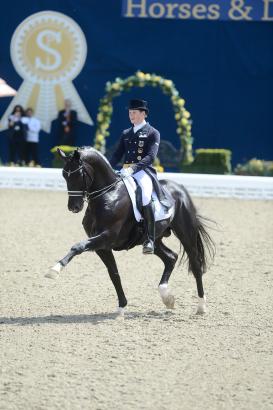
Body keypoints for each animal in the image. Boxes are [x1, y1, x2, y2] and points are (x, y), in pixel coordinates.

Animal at [45, 147, 214, 314]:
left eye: (79, 174)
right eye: (64, 175)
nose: (73, 207)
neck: (108, 195)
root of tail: (179, 188)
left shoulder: (107, 237)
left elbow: (78, 246)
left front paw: (54, 270)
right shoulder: (102, 246)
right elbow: (114, 273)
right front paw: (121, 307)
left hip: (186, 233)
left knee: (195, 265)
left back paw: (201, 306)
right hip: (153, 239)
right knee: (171, 257)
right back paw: (167, 297)